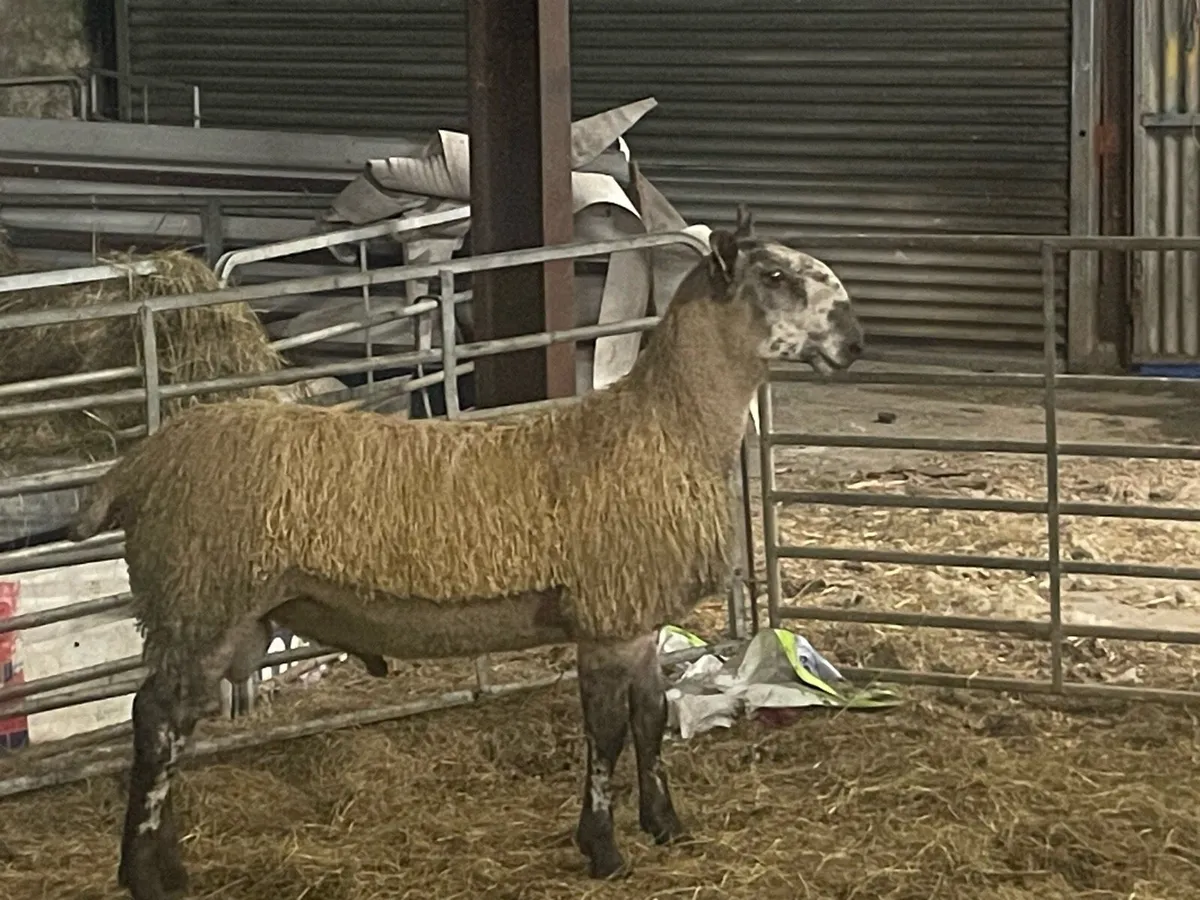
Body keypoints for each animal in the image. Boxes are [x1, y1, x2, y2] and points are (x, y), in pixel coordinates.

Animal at [69, 205, 864, 899]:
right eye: (776, 277)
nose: (855, 341)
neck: (667, 427)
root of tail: (139, 465)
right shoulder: (607, 617)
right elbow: (606, 735)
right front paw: (603, 849)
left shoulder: (635, 619)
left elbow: (650, 719)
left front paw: (665, 824)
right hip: (199, 596)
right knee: (154, 722)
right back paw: (143, 874)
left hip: (218, 608)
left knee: (173, 725)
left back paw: (167, 865)